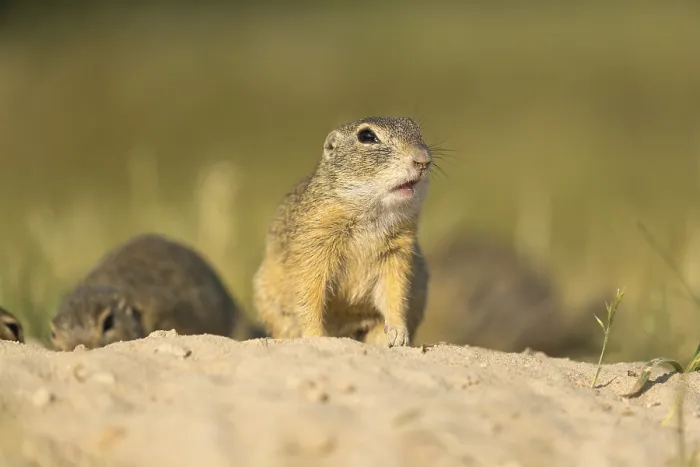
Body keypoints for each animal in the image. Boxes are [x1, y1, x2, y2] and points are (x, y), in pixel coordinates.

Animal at [253, 117, 433, 348]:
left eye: (416, 128)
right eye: (367, 136)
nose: (423, 160)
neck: (371, 214)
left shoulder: (397, 255)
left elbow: (395, 293)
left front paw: (398, 333)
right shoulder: (314, 246)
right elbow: (309, 295)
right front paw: (315, 336)